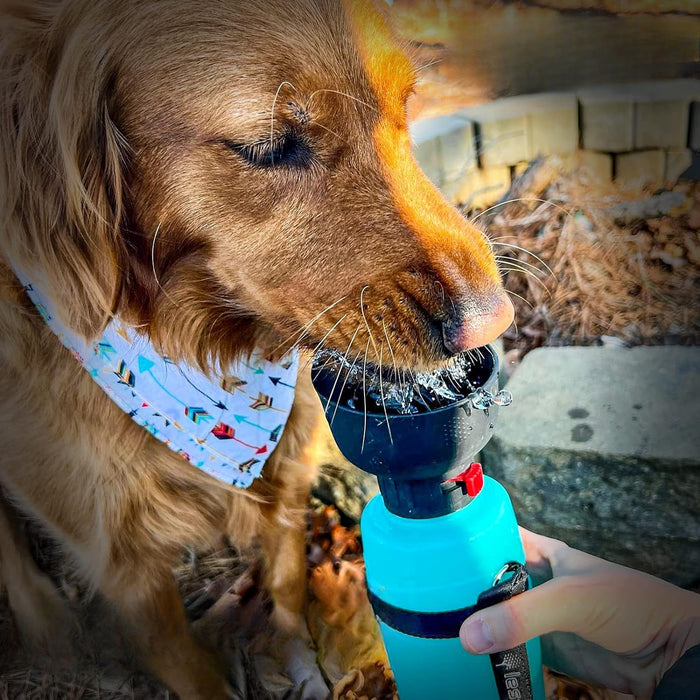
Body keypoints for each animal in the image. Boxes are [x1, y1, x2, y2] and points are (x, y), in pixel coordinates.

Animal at [0, 1, 516, 696]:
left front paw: (296, 654)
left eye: (405, 105)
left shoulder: (290, 471)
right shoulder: (123, 567)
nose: (492, 323)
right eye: (265, 146)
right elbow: (187, 667)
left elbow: (288, 584)